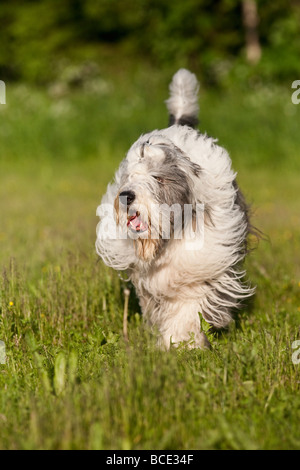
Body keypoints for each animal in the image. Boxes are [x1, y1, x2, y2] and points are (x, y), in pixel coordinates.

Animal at [95, 70, 254, 348]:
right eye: (129, 177)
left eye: (158, 178)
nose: (126, 196)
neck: (169, 236)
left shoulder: (200, 264)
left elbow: (187, 305)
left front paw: (180, 342)